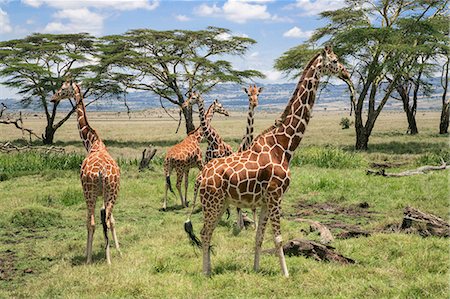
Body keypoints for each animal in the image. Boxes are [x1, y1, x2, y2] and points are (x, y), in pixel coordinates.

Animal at [50, 79, 120, 264]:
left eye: (63, 89)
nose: (53, 98)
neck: (92, 142)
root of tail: (102, 172)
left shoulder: (89, 192)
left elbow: (90, 222)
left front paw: (87, 255)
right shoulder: (105, 194)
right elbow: (111, 220)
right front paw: (117, 250)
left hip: (89, 193)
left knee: (92, 222)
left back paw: (91, 259)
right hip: (112, 192)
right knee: (108, 220)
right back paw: (111, 257)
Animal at [185, 45, 354, 278]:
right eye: (336, 61)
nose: (348, 74)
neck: (283, 146)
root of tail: (200, 177)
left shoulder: (265, 200)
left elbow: (259, 236)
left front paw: (256, 268)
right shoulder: (276, 196)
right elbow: (278, 238)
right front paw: (286, 274)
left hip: (220, 203)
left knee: (207, 232)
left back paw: (209, 269)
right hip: (213, 202)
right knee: (204, 232)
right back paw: (205, 273)